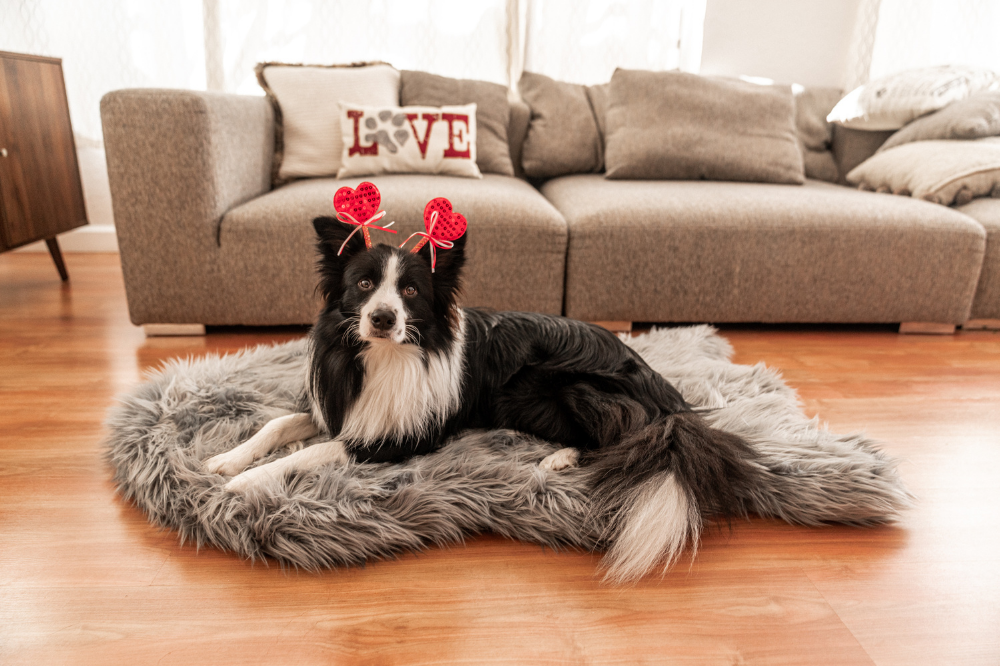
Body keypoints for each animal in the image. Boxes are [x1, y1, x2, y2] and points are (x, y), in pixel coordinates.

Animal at [205, 215, 764, 580]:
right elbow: (277, 425)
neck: (388, 356)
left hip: (558, 386)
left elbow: (315, 451)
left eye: (411, 292)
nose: (382, 318)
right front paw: (225, 460)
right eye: (363, 284)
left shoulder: (401, 439)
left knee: (624, 436)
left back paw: (559, 459)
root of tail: (663, 390)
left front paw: (246, 482)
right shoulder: (340, 408)